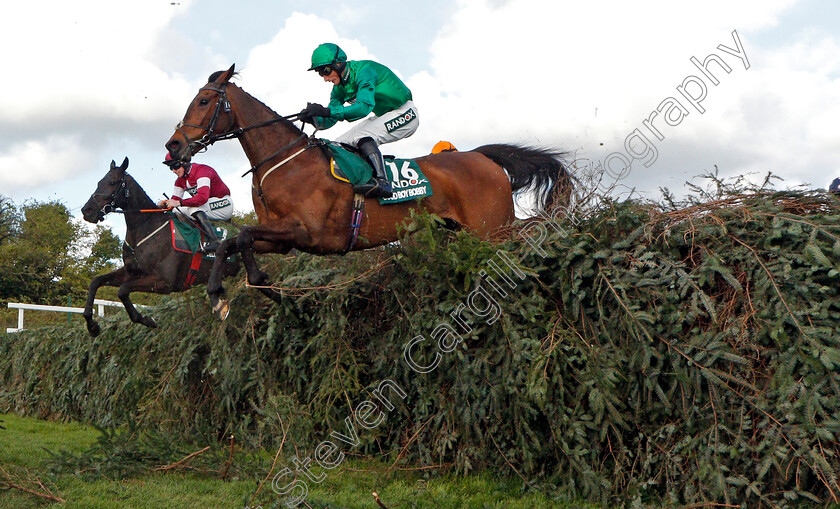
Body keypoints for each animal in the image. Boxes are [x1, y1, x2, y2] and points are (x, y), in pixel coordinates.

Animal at [80, 157, 240, 336]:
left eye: (112, 182)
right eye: (99, 182)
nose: (87, 211)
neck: (144, 227)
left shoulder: (165, 282)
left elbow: (123, 290)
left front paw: (146, 319)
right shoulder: (131, 272)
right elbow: (96, 281)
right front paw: (92, 325)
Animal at [164, 63, 572, 318]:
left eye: (203, 101)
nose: (173, 146)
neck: (284, 160)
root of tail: (481, 157)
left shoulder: (307, 232)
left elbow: (243, 234)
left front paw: (243, 289)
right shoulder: (280, 237)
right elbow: (234, 242)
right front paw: (236, 292)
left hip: (492, 228)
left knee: (521, 240)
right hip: (462, 232)